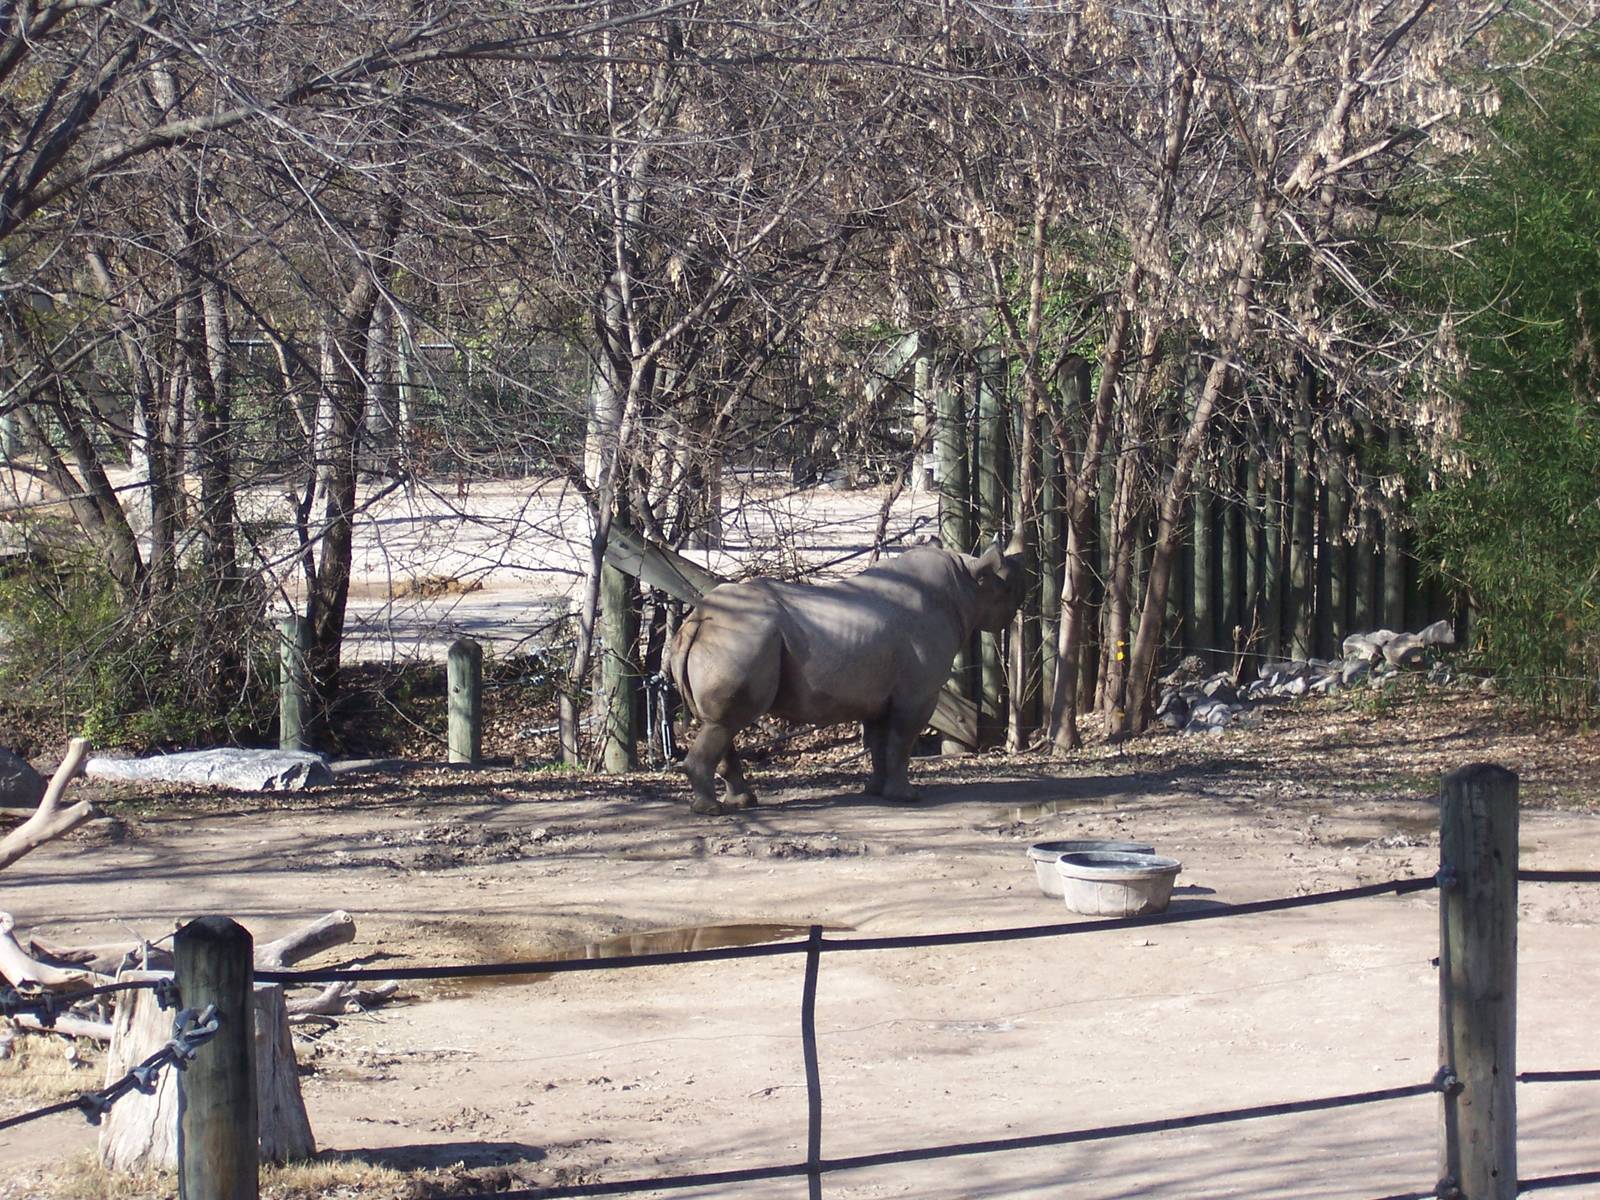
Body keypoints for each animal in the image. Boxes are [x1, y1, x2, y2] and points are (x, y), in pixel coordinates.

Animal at [666, 538, 1025, 815]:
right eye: (1008, 586)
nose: (1021, 601)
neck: (967, 580)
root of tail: (696, 620)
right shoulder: (917, 694)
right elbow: (902, 739)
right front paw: (907, 797)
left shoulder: (878, 695)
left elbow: (878, 742)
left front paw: (876, 792)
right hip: (741, 638)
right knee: (726, 722)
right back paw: (711, 810)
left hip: (732, 637)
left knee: (721, 724)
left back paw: (741, 802)